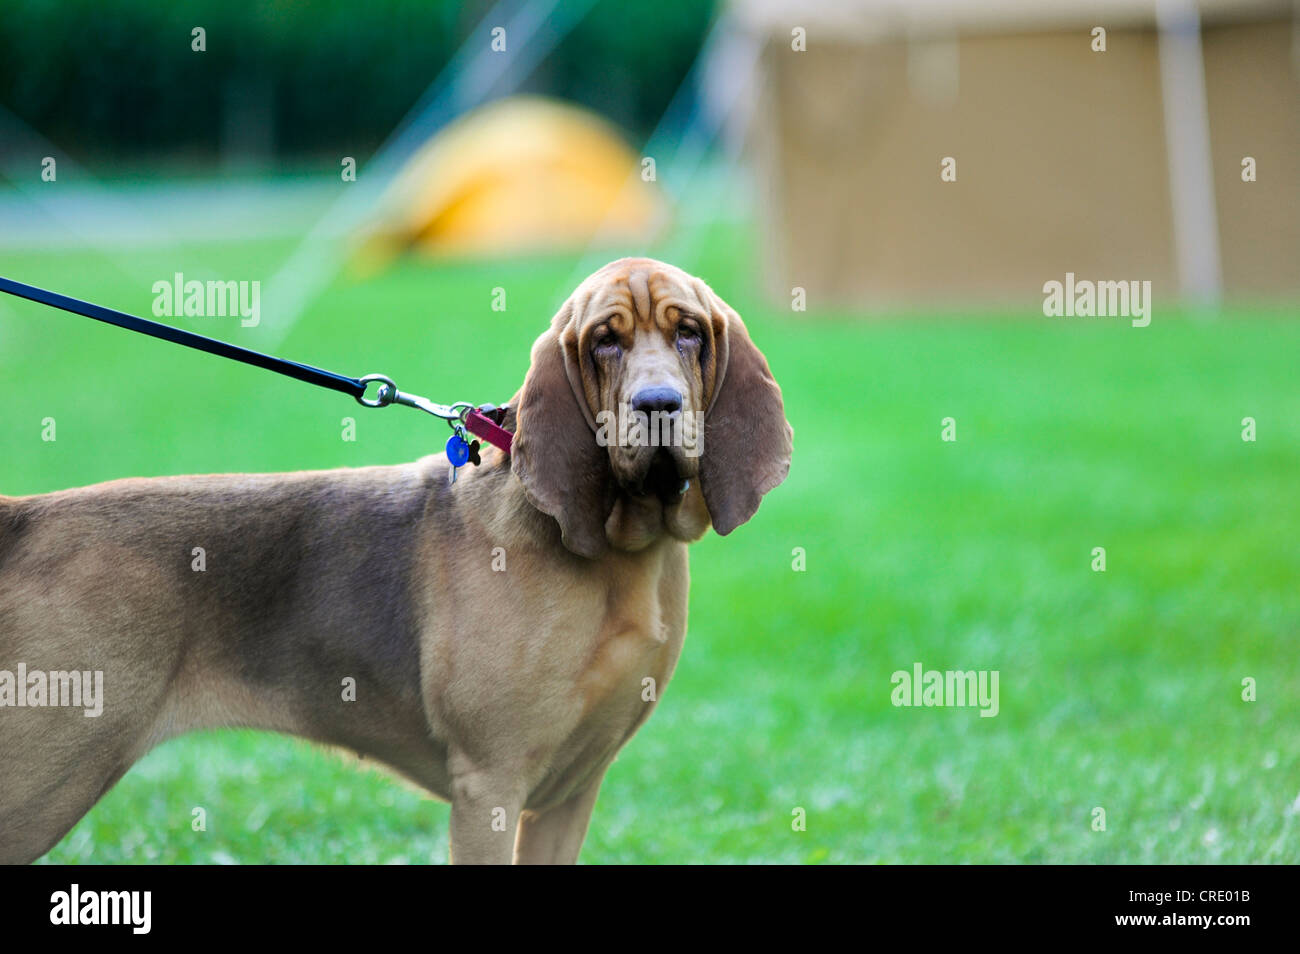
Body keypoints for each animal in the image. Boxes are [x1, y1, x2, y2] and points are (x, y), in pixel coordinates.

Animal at [0, 256, 790, 868]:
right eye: (604, 342)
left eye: (689, 332)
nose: (658, 404)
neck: (622, 557)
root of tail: (26, 517)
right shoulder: (490, 787)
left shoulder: (567, 795)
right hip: (43, 783)